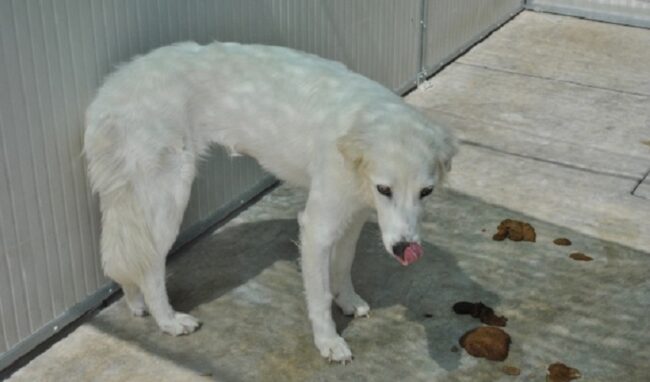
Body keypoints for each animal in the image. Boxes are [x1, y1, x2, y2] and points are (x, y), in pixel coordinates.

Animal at [83, 41, 456, 362]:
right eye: (385, 189)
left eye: (426, 192)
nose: (405, 249)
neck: (359, 123)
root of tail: (113, 85)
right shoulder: (318, 227)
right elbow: (319, 296)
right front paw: (328, 342)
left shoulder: (355, 217)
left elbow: (343, 266)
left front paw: (347, 301)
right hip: (168, 197)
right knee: (149, 266)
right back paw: (168, 320)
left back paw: (137, 303)